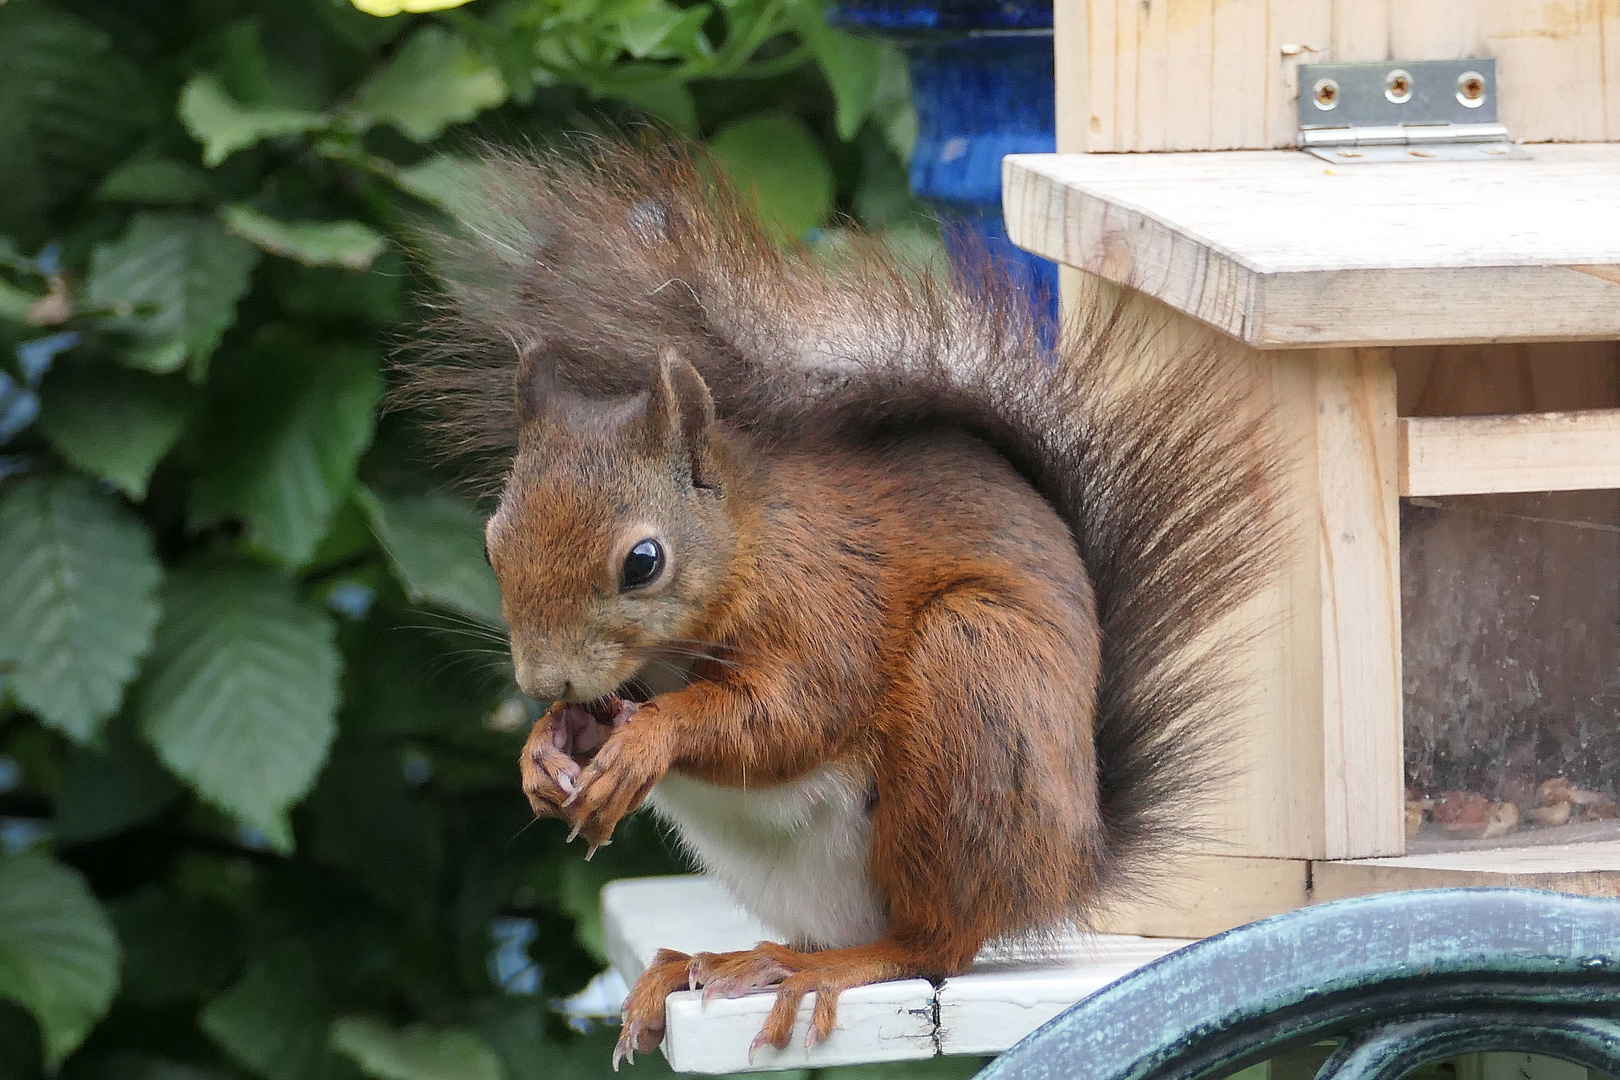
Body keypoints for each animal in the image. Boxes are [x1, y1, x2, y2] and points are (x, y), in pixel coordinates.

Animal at [401, 139, 1276, 1068]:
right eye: (491, 542)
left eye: (643, 562)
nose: (545, 682)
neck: (748, 548)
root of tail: (1074, 863)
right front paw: (543, 749)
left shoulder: (826, 603)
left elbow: (796, 711)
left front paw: (650, 739)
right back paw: (711, 962)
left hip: (973, 691)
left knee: (933, 942)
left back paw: (820, 968)